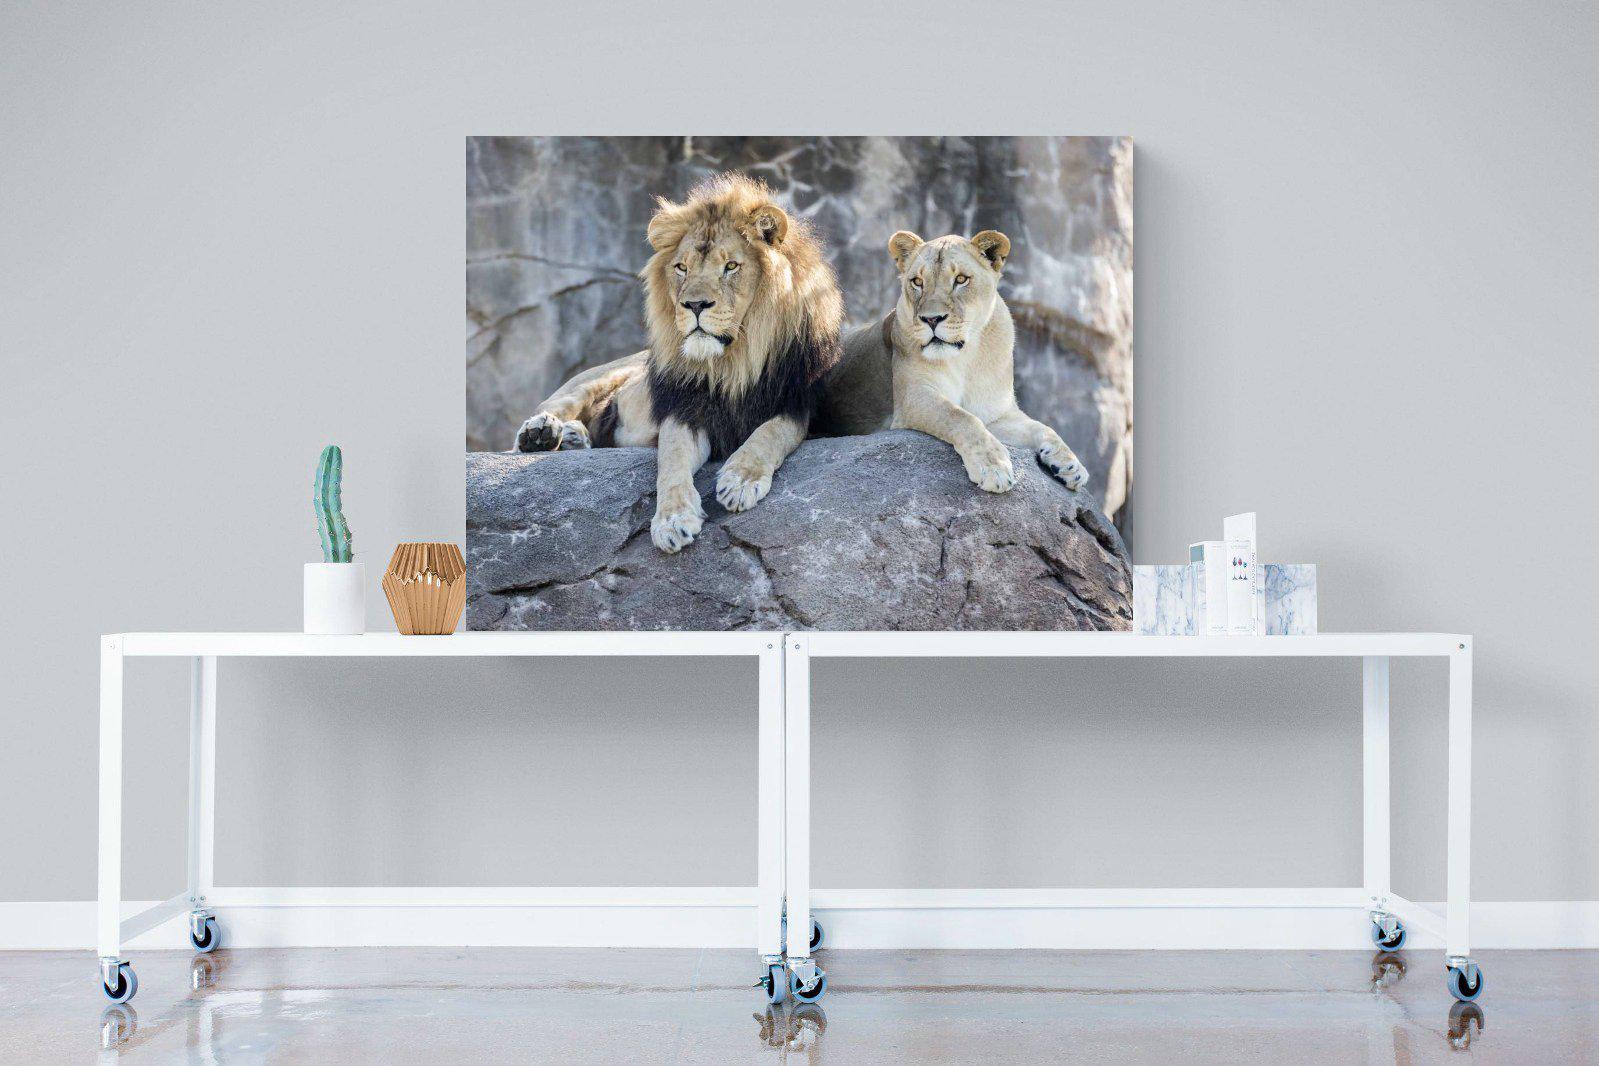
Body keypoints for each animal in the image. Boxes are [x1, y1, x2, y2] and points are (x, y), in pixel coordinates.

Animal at [511, 174, 844, 553]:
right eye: (682, 268)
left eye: (731, 266)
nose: (694, 305)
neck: (732, 363)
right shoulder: (684, 409)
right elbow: (671, 461)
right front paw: (672, 520)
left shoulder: (796, 404)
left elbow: (770, 433)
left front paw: (740, 480)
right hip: (595, 378)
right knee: (552, 408)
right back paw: (541, 434)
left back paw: (572, 438)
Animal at [817, 229, 1090, 494]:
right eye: (917, 282)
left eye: (960, 279)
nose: (932, 319)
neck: (967, 357)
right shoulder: (914, 398)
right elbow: (961, 417)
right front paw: (993, 467)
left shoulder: (997, 414)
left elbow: (1043, 428)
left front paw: (1070, 464)